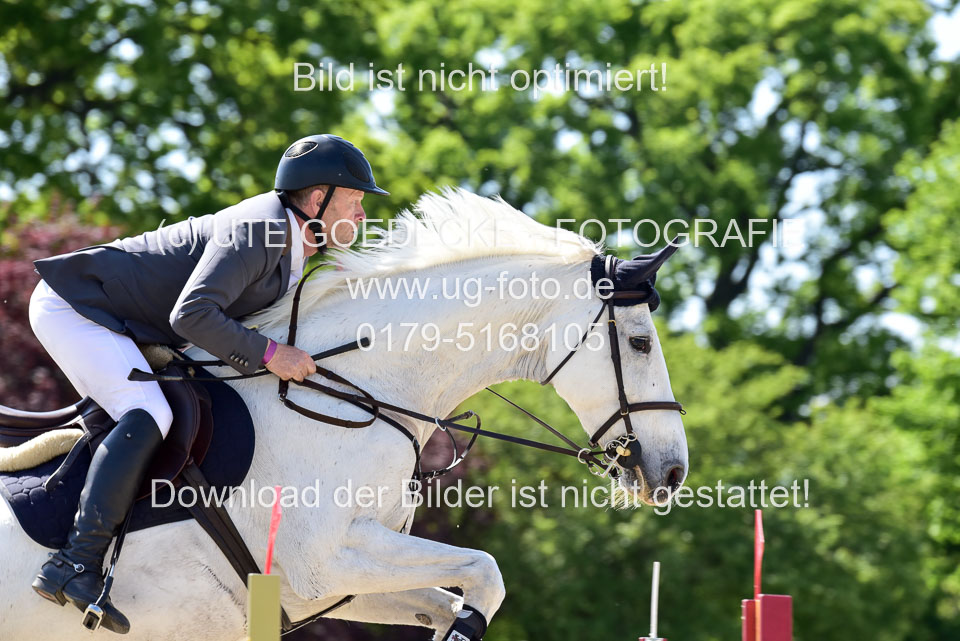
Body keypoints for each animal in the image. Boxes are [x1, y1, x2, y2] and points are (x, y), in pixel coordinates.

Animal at [0, 188, 687, 640]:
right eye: (640, 343)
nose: (674, 473)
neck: (357, 389)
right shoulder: (325, 556)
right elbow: (486, 572)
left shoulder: (339, 582)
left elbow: (451, 599)